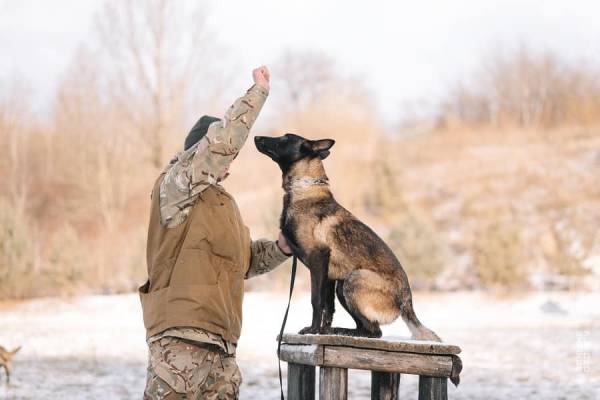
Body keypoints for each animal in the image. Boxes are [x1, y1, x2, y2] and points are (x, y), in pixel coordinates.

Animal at [253, 134, 440, 340]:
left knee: (375, 331)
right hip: (341, 285)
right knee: (365, 328)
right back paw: (339, 331)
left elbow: (316, 300)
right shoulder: (328, 276)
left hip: (353, 280)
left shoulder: (318, 259)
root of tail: (407, 302)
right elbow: (328, 308)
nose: (256, 137)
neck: (304, 189)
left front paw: (312, 330)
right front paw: (322, 332)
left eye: (285, 138)